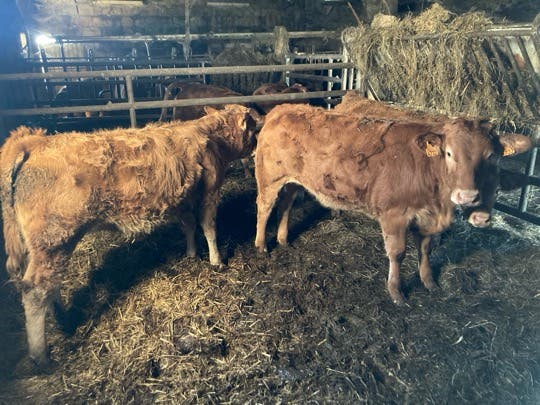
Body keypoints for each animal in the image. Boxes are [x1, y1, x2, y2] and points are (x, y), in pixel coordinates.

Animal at [0, 104, 257, 369]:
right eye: (253, 127)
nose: (256, 145)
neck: (211, 137)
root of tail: (33, 141)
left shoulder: (183, 198)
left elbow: (188, 226)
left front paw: (191, 254)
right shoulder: (209, 192)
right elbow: (209, 227)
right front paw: (217, 261)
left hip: (47, 246)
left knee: (50, 284)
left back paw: (63, 318)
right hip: (54, 240)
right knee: (36, 291)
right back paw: (41, 355)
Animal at [254, 103, 532, 305]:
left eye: (491, 156)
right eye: (449, 153)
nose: (467, 196)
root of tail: (282, 109)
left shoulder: (426, 218)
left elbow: (425, 250)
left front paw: (429, 281)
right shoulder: (394, 215)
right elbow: (397, 253)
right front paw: (396, 291)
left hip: (291, 181)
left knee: (286, 204)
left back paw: (283, 239)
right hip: (269, 179)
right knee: (265, 207)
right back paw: (261, 244)